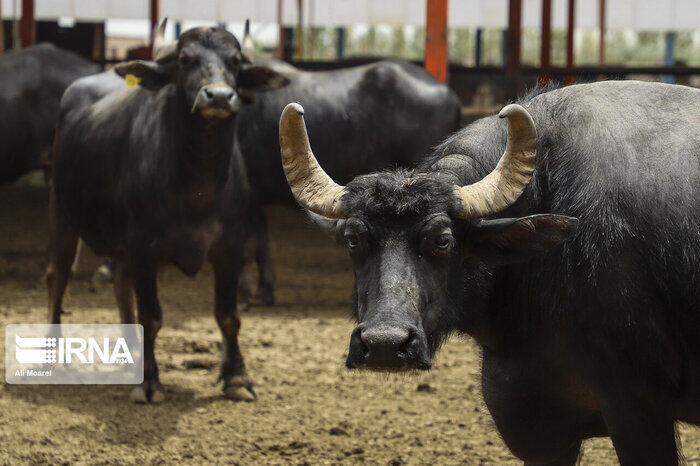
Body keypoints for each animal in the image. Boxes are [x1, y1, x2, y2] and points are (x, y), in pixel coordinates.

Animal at [49, 21, 288, 402]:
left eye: (235, 61)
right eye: (186, 60)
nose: (218, 97)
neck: (198, 184)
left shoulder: (230, 246)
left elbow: (228, 315)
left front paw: (236, 377)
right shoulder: (141, 246)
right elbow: (151, 316)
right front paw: (149, 382)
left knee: (119, 283)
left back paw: (130, 353)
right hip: (62, 211)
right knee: (59, 276)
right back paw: (55, 352)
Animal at [232, 56, 462, 310]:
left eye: (231, 64)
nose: (219, 97)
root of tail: (450, 96)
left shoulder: (248, 196)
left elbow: (247, 245)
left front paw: (242, 297)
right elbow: (261, 242)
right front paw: (265, 291)